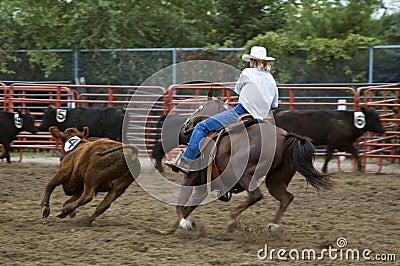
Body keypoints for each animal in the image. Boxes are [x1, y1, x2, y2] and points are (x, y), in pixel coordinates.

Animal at [164, 91, 332, 235]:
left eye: (199, 107)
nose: (185, 125)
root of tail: (285, 138)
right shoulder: (203, 187)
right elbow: (188, 207)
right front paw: (170, 230)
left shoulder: (190, 178)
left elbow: (181, 205)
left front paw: (184, 224)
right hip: (276, 179)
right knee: (286, 197)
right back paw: (273, 226)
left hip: (244, 173)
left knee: (256, 196)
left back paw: (232, 220)